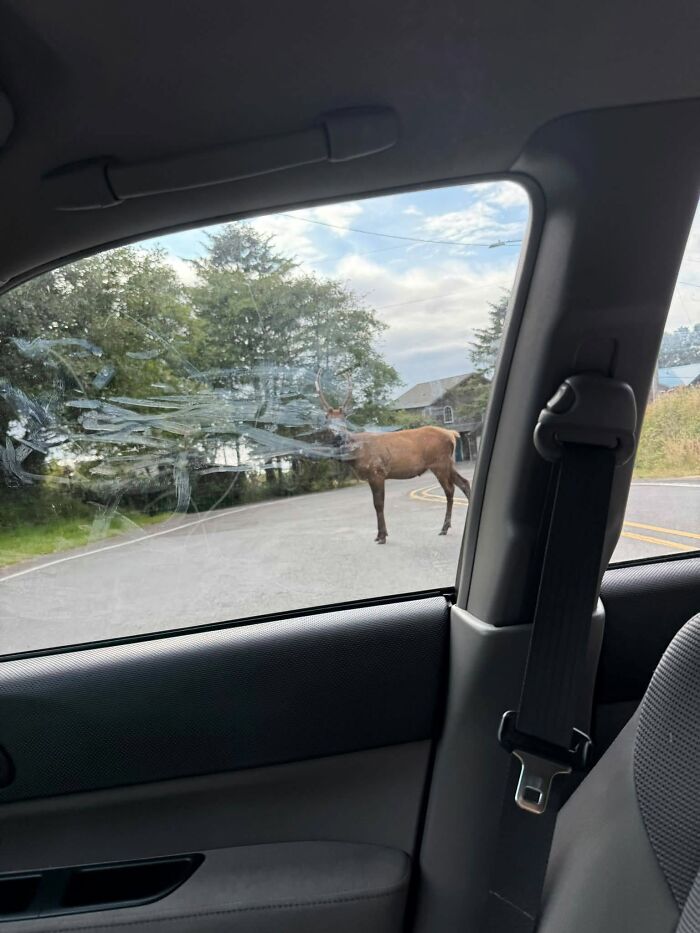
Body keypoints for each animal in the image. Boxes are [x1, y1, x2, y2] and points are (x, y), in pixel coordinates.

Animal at [316, 373, 471, 543]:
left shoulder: (377, 472)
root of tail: (452, 434)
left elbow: (378, 504)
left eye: (343, 419)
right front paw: (379, 535)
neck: (356, 455)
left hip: (439, 463)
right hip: (448, 463)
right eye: (327, 419)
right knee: (464, 483)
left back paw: (444, 528)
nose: (338, 436)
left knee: (450, 490)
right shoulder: (373, 476)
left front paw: (382, 536)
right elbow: (377, 504)